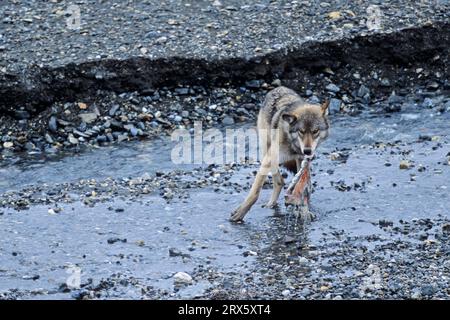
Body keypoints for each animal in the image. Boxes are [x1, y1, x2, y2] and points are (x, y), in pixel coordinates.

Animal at [230, 87, 328, 222]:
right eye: (301, 131)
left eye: (315, 131)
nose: (307, 151)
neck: (293, 145)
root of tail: (278, 88)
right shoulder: (269, 159)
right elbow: (255, 193)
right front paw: (240, 213)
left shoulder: (302, 161)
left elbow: (303, 185)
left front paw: (303, 209)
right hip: (266, 151)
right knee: (279, 181)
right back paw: (271, 204)